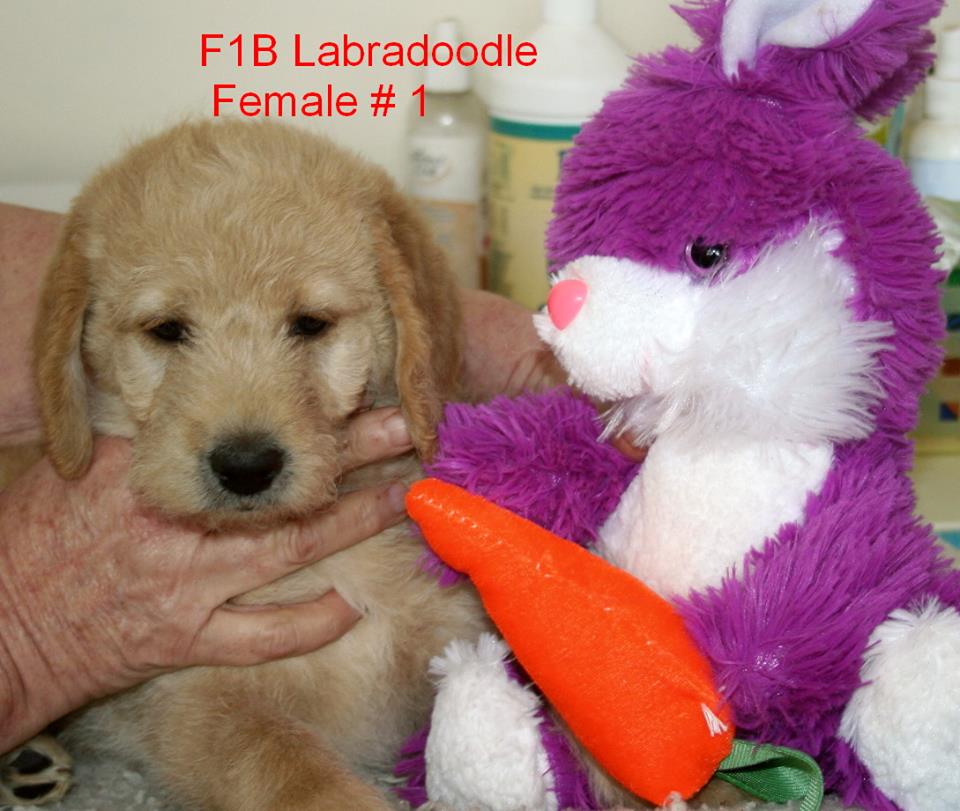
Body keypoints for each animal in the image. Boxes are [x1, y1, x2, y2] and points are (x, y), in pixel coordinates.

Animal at [2, 118, 486, 810]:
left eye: (310, 323)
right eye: (167, 330)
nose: (247, 466)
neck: (322, 567)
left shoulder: (453, 634)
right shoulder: (198, 698)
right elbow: (288, 769)